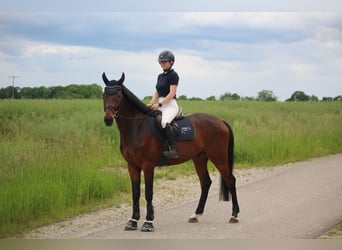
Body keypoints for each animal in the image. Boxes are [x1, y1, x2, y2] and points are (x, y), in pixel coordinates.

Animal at [103, 72, 239, 232]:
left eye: (119, 96)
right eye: (104, 94)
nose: (108, 119)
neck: (137, 127)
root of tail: (221, 121)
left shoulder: (148, 166)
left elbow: (148, 193)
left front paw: (148, 222)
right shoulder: (132, 166)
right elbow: (135, 193)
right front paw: (133, 221)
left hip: (219, 157)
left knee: (230, 180)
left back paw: (234, 215)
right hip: (199, 158)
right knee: (205, 182)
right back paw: (196, 215)